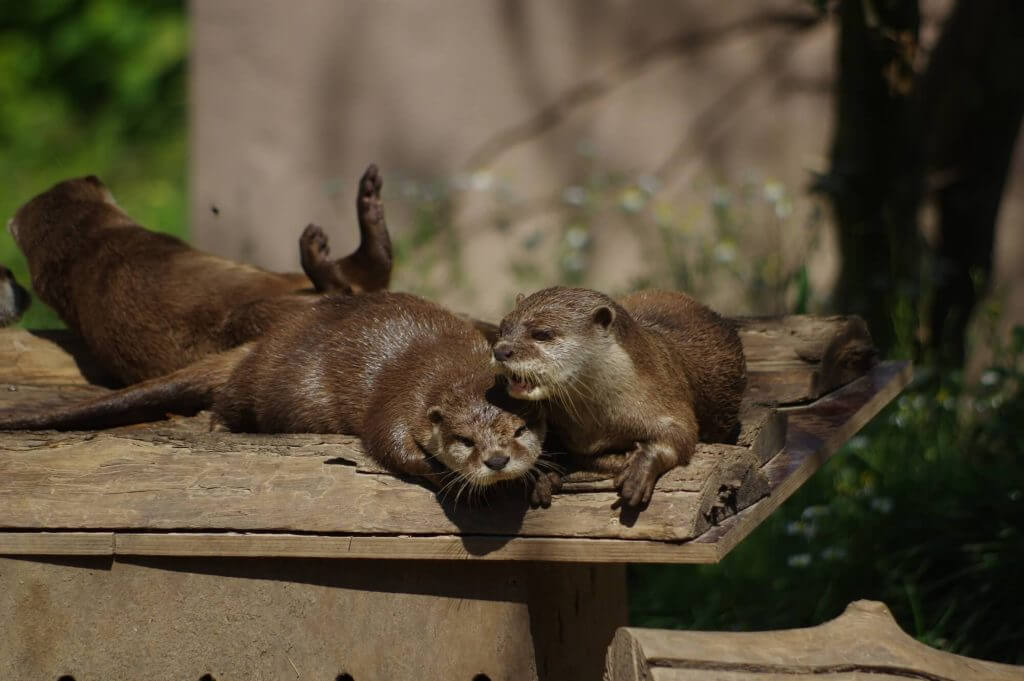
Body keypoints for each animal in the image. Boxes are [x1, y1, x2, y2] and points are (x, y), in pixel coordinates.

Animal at [0, 290, 552, 499]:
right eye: (463, 440)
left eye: (518, 430)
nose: (497, 460)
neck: (450, 363)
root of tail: (265, 341)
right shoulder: (401, 398)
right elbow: (387, 442)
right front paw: (440, 474)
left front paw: (540, 478)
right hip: (279, 386)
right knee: (231, 397)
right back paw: (219, 424)